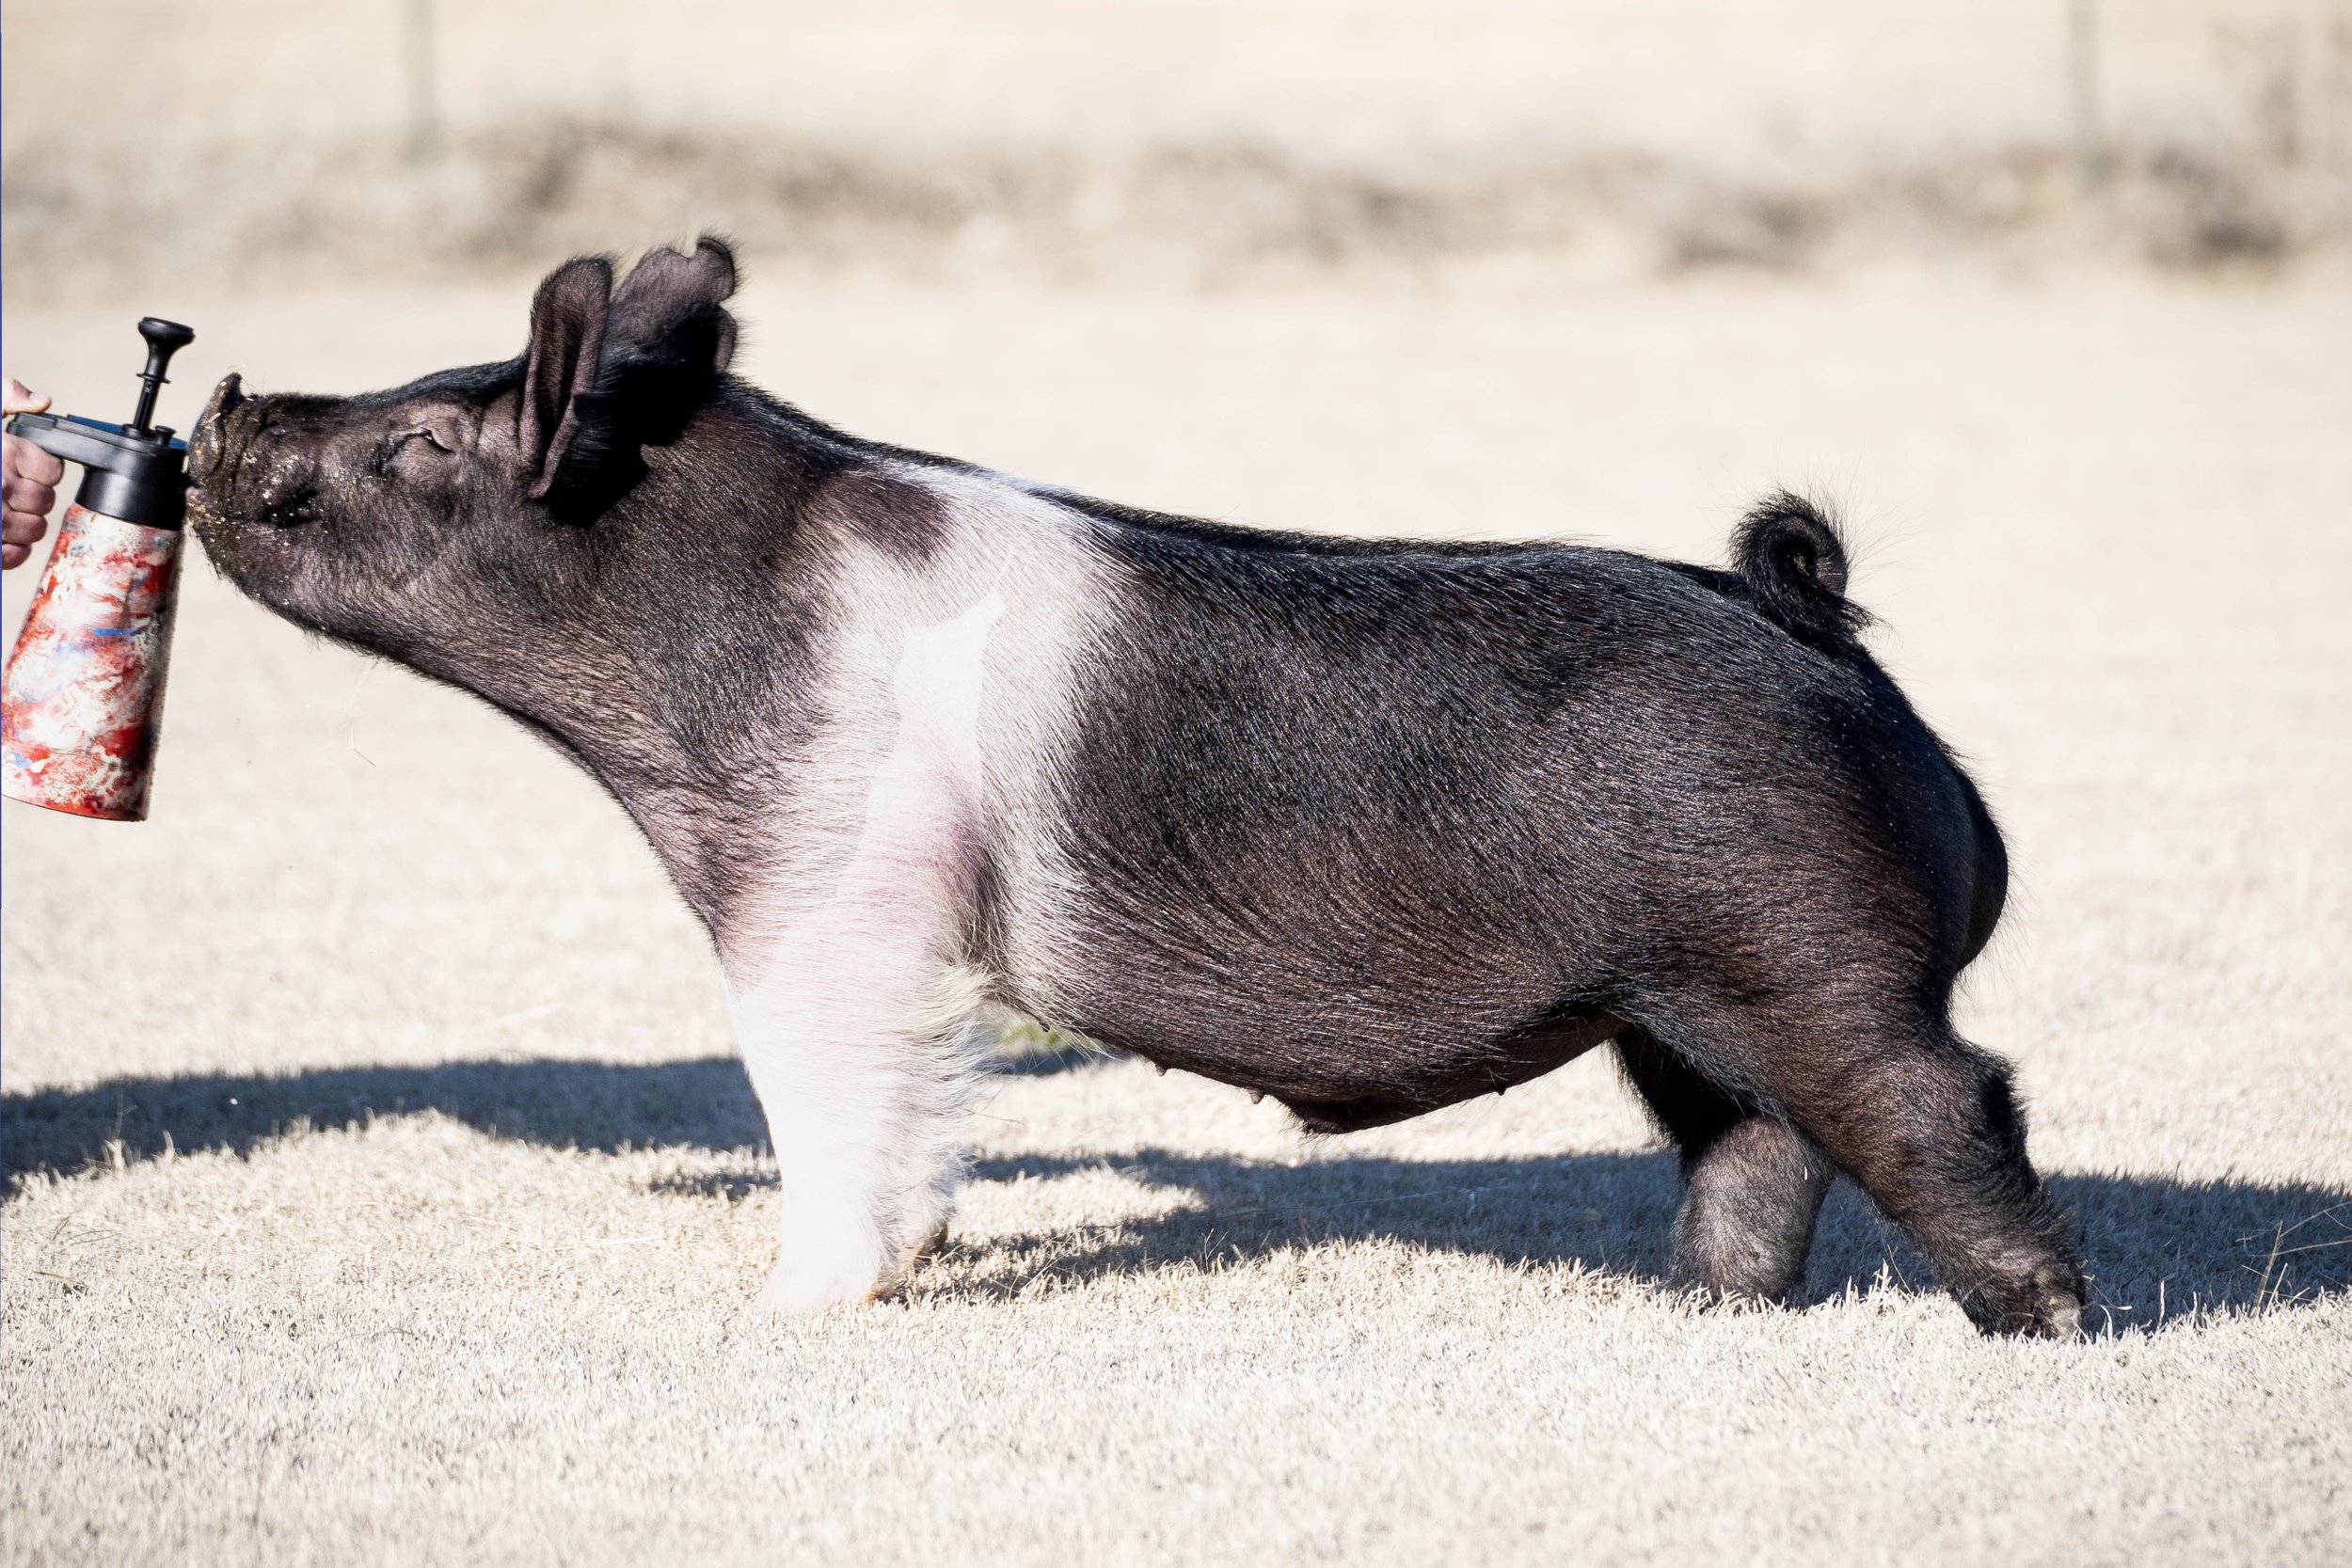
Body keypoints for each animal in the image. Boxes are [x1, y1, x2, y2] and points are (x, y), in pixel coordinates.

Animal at [188, 237, 2086, 1334]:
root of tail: (1814, 624)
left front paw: (792, 1307)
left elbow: (832, 1100)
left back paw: (2046, 1320)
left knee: (1944, 1098)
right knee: (1757, 1148)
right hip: (1682, 1003)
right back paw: (1700, 1318)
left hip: (1811, 952)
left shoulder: (833, 899)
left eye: (430, 442)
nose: (223, 404)